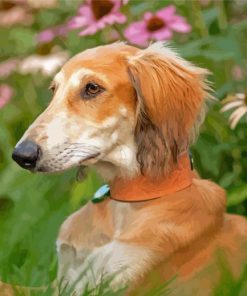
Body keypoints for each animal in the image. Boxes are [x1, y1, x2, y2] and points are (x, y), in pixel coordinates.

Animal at [11, 42, 247, 296]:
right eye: (54, 90)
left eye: (92, 88)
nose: (22, 155)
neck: (125, 203)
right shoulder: (60, 282)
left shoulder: (122, 286)